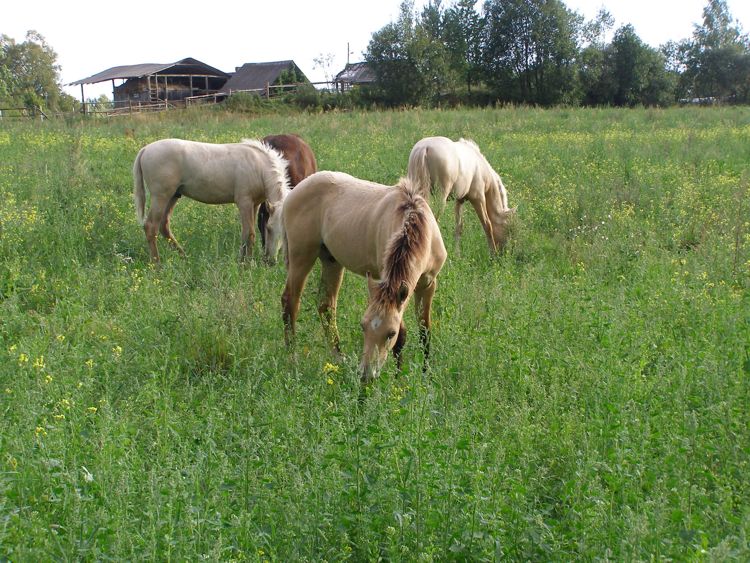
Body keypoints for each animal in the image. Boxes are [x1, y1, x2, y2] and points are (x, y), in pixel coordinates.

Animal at [133, 138, 290, 264]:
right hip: (161, 196)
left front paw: (245, 260)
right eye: (268, 228)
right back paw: (157, 264)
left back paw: (184, 258)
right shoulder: (244, 202)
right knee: (151, 226)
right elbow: (249, 234)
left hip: (173, 196)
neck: (258, 167)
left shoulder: (254, 204)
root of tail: (145, 149)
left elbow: (248, 234)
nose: (270, 261)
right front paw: (245, 265)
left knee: (163, 226)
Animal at [282, 172, 446, 384]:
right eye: (363, 326)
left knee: (326, 306)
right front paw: (398, 379)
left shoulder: (427, 285)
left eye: (390, 333)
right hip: (301, 256)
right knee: (290, 302)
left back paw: (339, 360)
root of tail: (294, 192)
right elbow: (403, 337)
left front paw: (426, 376)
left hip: (331, 261)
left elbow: (424, 331)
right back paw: (292, 358)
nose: (366, 374)